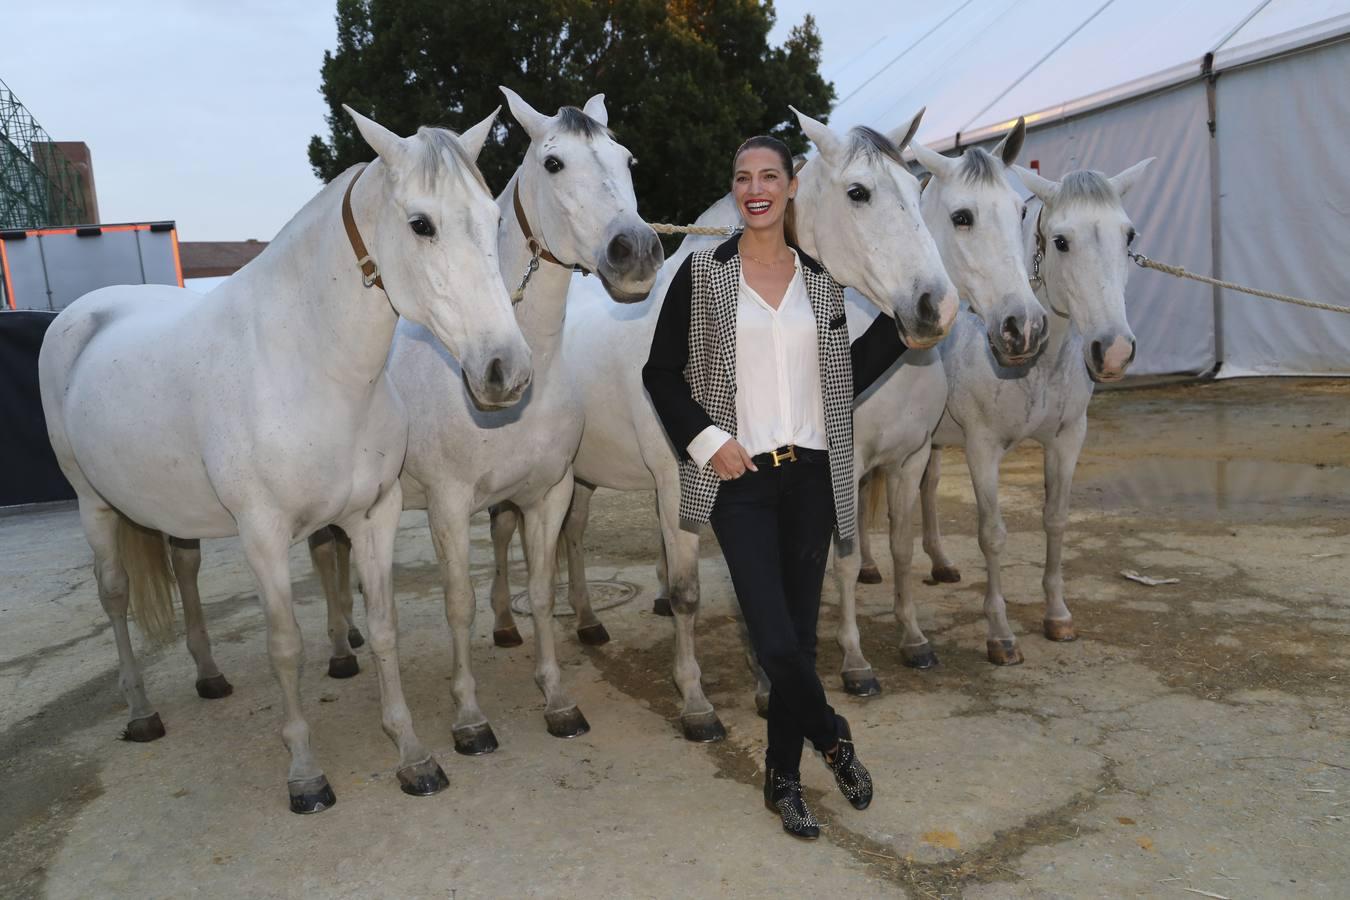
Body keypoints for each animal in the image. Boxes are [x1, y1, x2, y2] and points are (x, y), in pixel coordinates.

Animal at [39, 107, 529, 814]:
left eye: (493, 219)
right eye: (421, 224)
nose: (505, 371)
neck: (310, 366)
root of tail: (78, 315)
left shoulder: (374, 516)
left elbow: (382, 628)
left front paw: (413, 756)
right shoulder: (264, 535)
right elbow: (286, 647)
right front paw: (305, 774)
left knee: (184, 571)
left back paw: (209, 677)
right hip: (93, 504)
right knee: (114, 597)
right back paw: (141, 714)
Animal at [820, 119, 1042, 696]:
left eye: (1021, 210)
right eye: (962, 217)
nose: (1025, 327)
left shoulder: (915, 450)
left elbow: (903, 537)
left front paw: (913, 636)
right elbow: (839, 552)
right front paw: (853, 660)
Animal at [918, 156, 1161, 661]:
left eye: (1128, 235)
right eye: (1061, 241)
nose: (1113, 351)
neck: (1037, 364)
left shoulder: (1068, 438)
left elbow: (1056, 519)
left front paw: (1058, 615)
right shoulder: (982, 448)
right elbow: (992, 534)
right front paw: (1000, 634)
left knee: (926, 488)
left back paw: (940, 563)